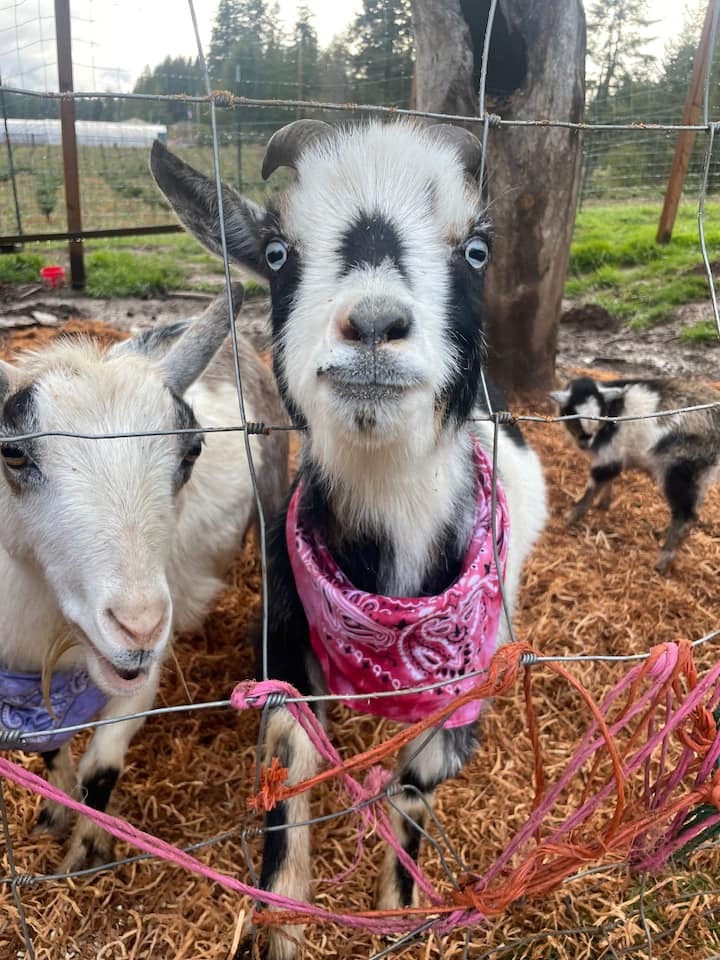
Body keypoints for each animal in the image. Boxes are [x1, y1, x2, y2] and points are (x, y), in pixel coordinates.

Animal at [0, 286, 288, 872]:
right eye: (12, 453)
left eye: (192, 450)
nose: (139, 629)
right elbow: (50, 750)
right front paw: (54, 815)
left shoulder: (142, 675)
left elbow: (101, 769)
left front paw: (84, 856)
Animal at [151, 120, 547, 959]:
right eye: (276, 252)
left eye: (477, 250)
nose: (372, 325)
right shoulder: (282, 632)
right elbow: (289, 749)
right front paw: (281, 920)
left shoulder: (474, 671)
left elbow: (414, 778)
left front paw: (401, 904)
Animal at [550, 375, 720, 573]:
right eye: (574, 417)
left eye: (599, 415)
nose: (584, 443)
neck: (613, 413)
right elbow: (608, 481)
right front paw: (603, 504)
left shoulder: (610, 454)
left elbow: (594, 485)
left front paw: (569, 518)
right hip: (700, 476)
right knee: (691, 511)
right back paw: (662, 535)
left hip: (682, 469)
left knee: (685, 515)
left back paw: (662, 561)